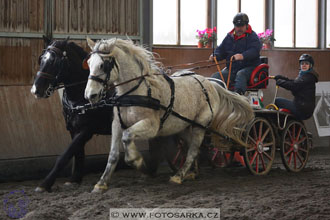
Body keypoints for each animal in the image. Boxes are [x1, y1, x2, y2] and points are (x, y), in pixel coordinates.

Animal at [31, 37, 178, 192]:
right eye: (41, 59)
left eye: (55, 62)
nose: (36, 90)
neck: (81, 99)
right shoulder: (74, 129)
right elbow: (77, 153)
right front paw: (75, 179)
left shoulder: (86, 130)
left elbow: (66, 155)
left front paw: (45, 183)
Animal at [84, 37, 254, 192]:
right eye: (89, 63)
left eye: (102, 65)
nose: (90, 95)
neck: (135, 92)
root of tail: (209, 83)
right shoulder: (117, 125)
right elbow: (113, 154)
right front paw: (101, 183)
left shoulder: (151, 126)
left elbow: (127, 137)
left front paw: (138, 162)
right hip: (185, 126)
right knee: (193, 148)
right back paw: (193, 172)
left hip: (200, 125)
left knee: (193, 150)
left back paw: (178, 176)